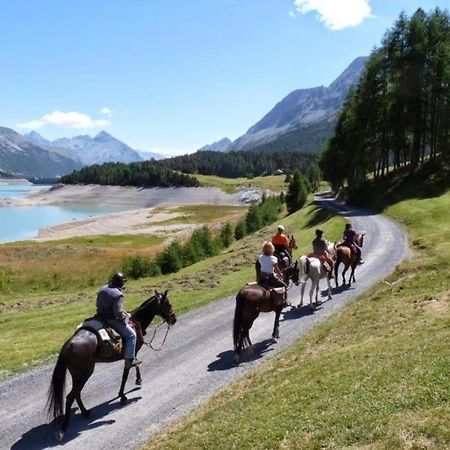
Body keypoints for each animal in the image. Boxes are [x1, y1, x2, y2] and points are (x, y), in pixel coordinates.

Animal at [47, 290, 176, 442]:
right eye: (168, 304)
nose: (174, 319)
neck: (135, 321)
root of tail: (68, 345)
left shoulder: (132, 352)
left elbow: (133, 365)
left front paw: (138, 380)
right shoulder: (131, 350)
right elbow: (127, 371)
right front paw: (123, 395)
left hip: (77, 374)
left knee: (76, 393)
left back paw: (85, 412)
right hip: (85, 373)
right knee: (70, 396)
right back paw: (64, 427)